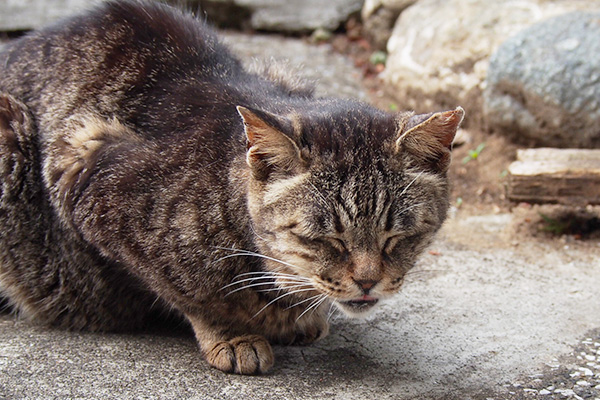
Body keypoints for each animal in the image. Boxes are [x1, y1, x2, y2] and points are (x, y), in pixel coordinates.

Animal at [0, 0, 464, 376]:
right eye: (325, 238)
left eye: (399, 236)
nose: (368, 283)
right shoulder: (88, 172)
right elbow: (192, 291)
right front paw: (234, 333)